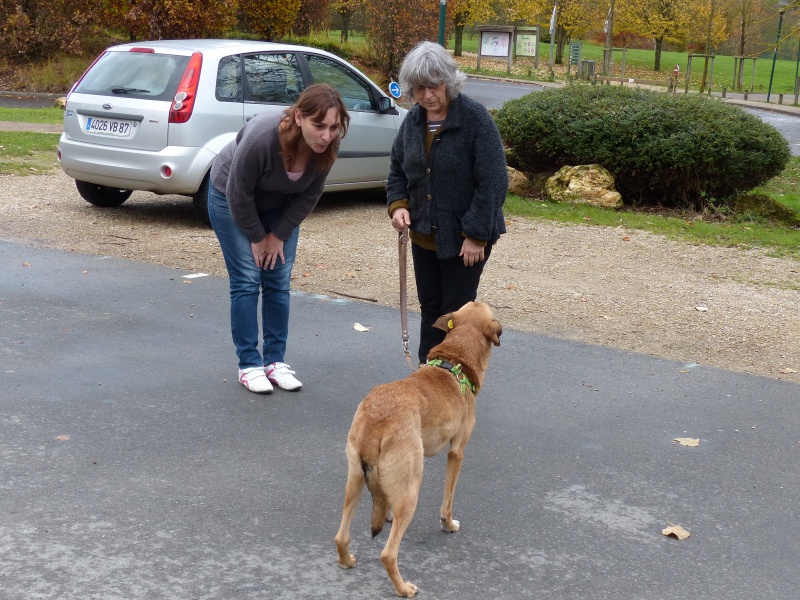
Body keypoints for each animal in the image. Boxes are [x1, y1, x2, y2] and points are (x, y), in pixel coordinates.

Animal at [336, 300, 500, 596]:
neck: (453, 363)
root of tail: (377, 420)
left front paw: (387, 514)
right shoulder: (456, 452)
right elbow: (448, 500)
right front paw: (448, 525)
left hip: (354, 481)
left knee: (341, 536)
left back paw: (347, 561)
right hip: (412, 490)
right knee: (388, 554)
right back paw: (403, 589)